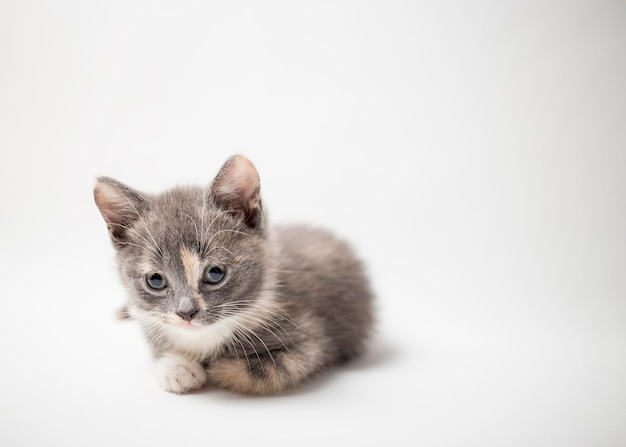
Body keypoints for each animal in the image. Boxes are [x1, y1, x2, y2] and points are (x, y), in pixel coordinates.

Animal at [95, 156, 372, 394]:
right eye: (155, 280)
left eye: (215, 273)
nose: (186, 313)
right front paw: (178, 368)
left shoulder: (309, 342)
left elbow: (244, 371)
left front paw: (211, 365)